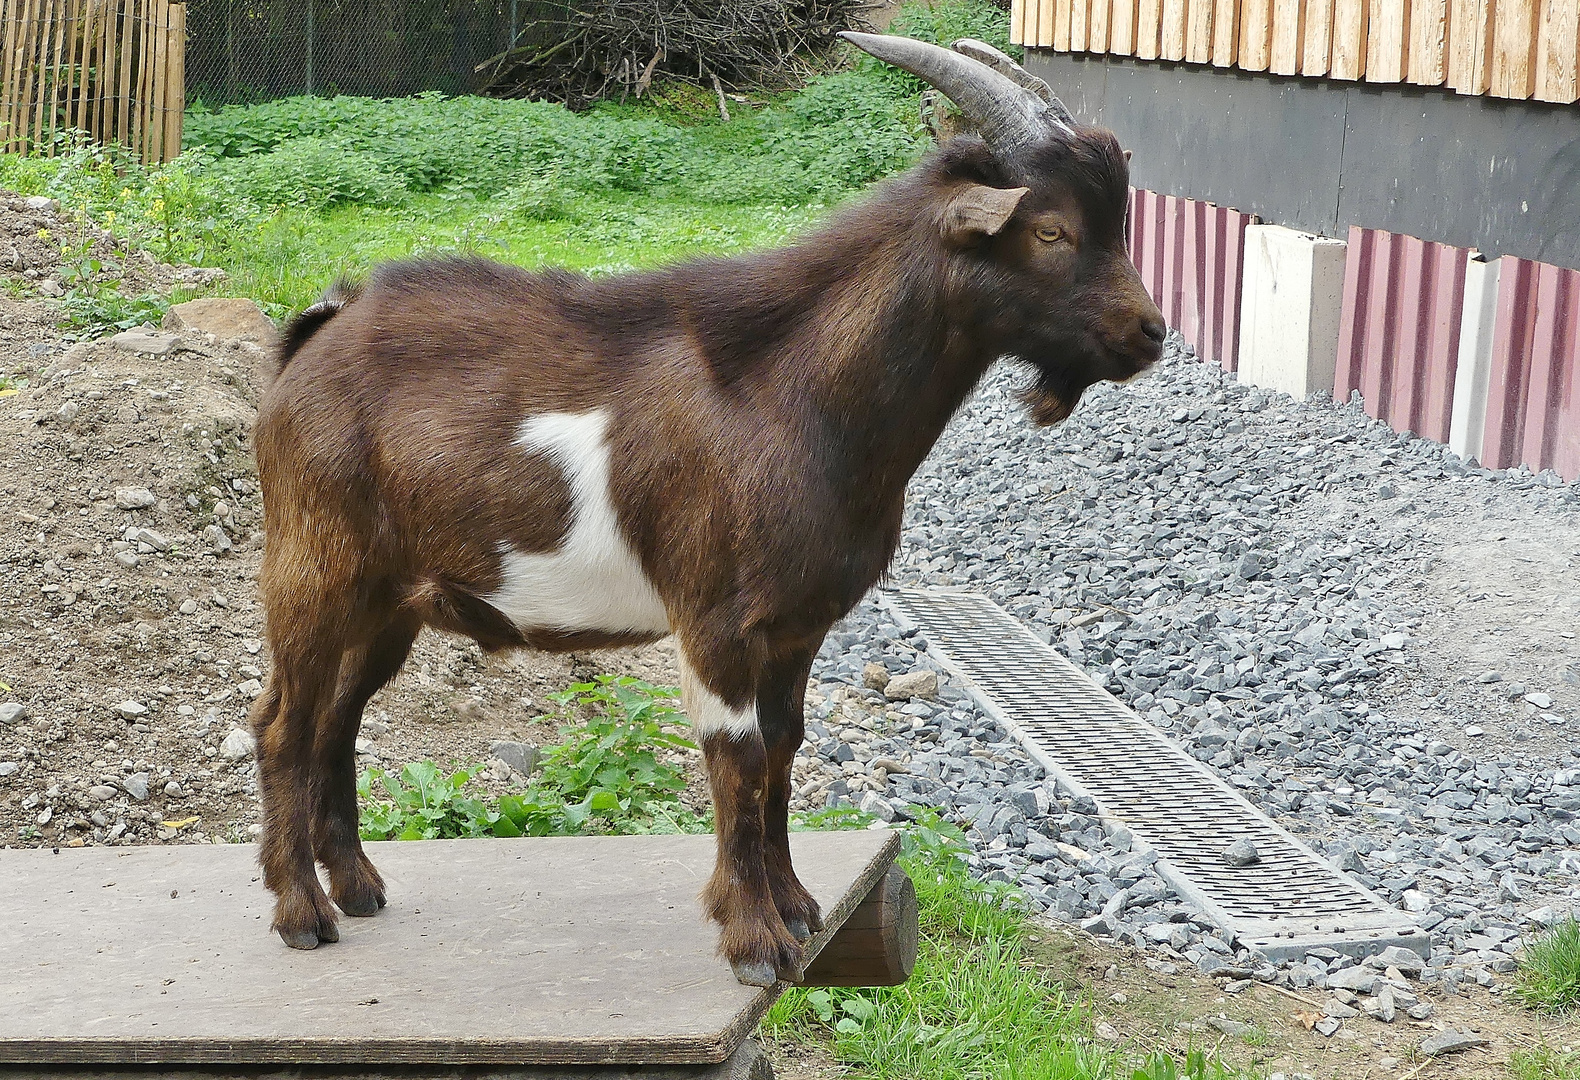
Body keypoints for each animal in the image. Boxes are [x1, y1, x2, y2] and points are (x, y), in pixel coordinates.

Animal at [246, 33, 1162, 985]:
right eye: (1051, 229)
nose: (1150, 332)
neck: (788, 395)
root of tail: (313, 338)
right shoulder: (717, 616)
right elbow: (737, 755)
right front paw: (754, 940)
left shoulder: (798, 627)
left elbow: (786, 748)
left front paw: (796, 907)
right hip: (314, 567)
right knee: (281, 723)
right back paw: (302, 912)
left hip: (392, 601)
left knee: (336, 717)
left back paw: (358, 885)